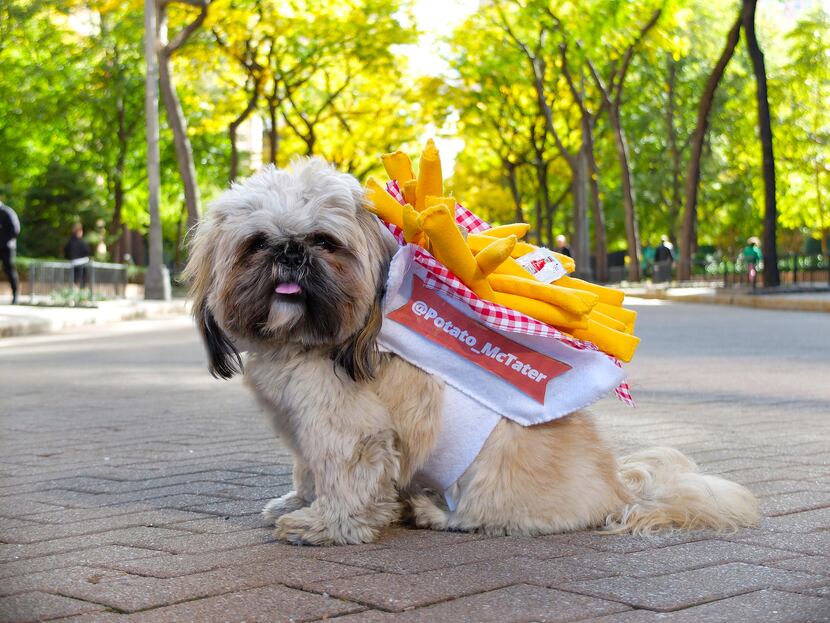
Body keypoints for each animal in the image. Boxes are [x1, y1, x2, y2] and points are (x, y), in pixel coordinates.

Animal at [187, 160, 760, 544]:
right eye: (257, 243)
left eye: (325, 242)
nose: (290, 251)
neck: (311, 340)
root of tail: (620, 490)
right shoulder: (304, 429)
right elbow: (307, 472)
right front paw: (300, 501)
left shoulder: (350, 433)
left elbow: (346, 483)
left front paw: (324, 524)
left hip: (487, 474)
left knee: (484, 519)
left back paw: (430, 512)